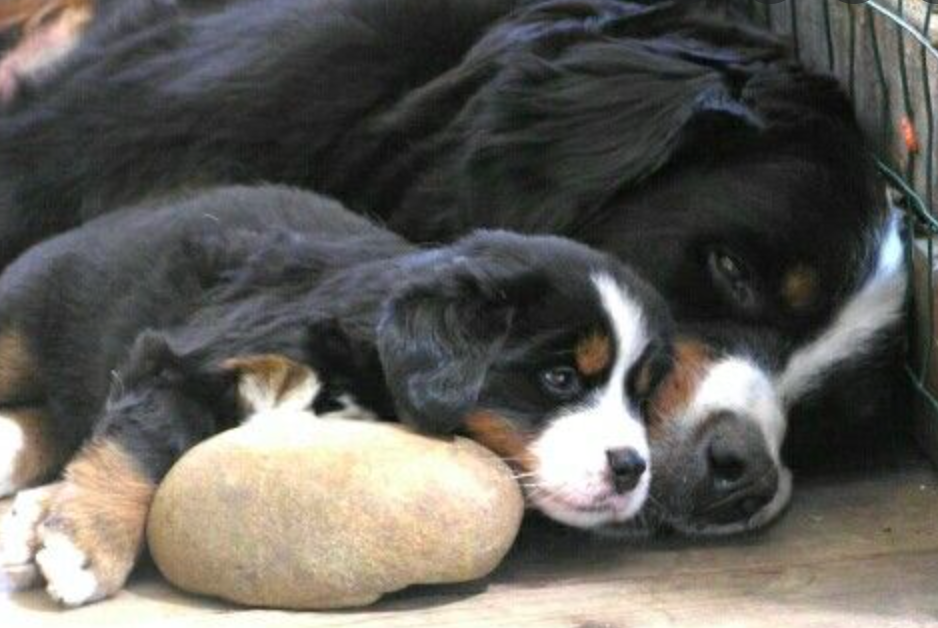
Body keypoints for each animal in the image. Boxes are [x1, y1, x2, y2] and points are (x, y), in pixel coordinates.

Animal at [0, 185, 696, 604]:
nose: (631, 467)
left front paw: (49, 525)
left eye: (642, 398)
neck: (362, 362)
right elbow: (144, 444)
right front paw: (87, 547)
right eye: (560, 379)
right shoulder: (179, 358)